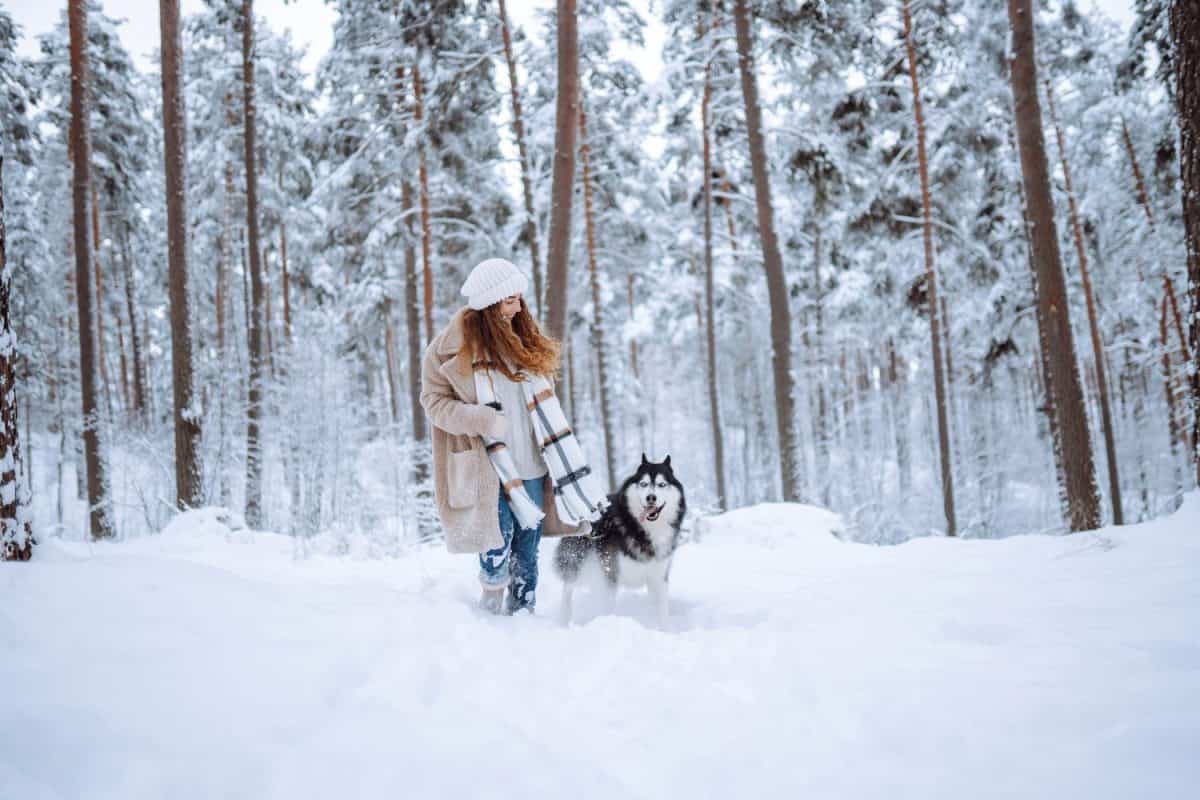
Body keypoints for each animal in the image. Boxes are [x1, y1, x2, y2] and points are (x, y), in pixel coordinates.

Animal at [552, 453, 686, 628]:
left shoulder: (658, 575)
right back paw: (563, 620)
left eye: (662, 484)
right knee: (568, 590)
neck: (643, 530)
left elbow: (661, 610)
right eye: (643, 484)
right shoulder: (610, 574)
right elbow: (607, 607)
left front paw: (663, 629)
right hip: (577, 560)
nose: (651, 497)